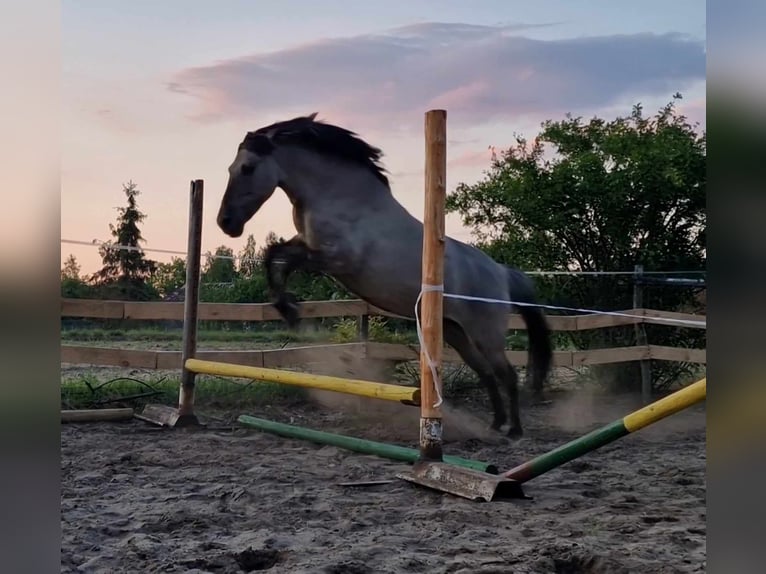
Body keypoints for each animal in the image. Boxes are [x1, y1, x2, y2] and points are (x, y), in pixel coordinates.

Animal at [216, 112, 552, 438]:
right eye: (231, 168)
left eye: (247, 168)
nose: (225, 223)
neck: (340, 198)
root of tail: (501, 272)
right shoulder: (305, 244)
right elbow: (274, 256)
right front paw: (286, 309)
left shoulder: (334, 259)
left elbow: (280, 259)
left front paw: (291, 310)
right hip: (456, 332)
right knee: (486, 373)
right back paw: (494, 425)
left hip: (485, 333)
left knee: (506, 374)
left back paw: (514, 430)